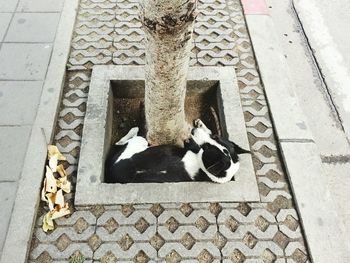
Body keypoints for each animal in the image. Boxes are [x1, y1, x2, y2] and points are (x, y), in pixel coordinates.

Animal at [105, 120, 250, 185]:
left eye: (207, 147)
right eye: (216, 137)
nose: (193, 130)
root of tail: (112, 169)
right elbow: (206, 131)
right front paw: (201, 125)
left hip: (139, 142)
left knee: (124, 140)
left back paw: (131, 132)